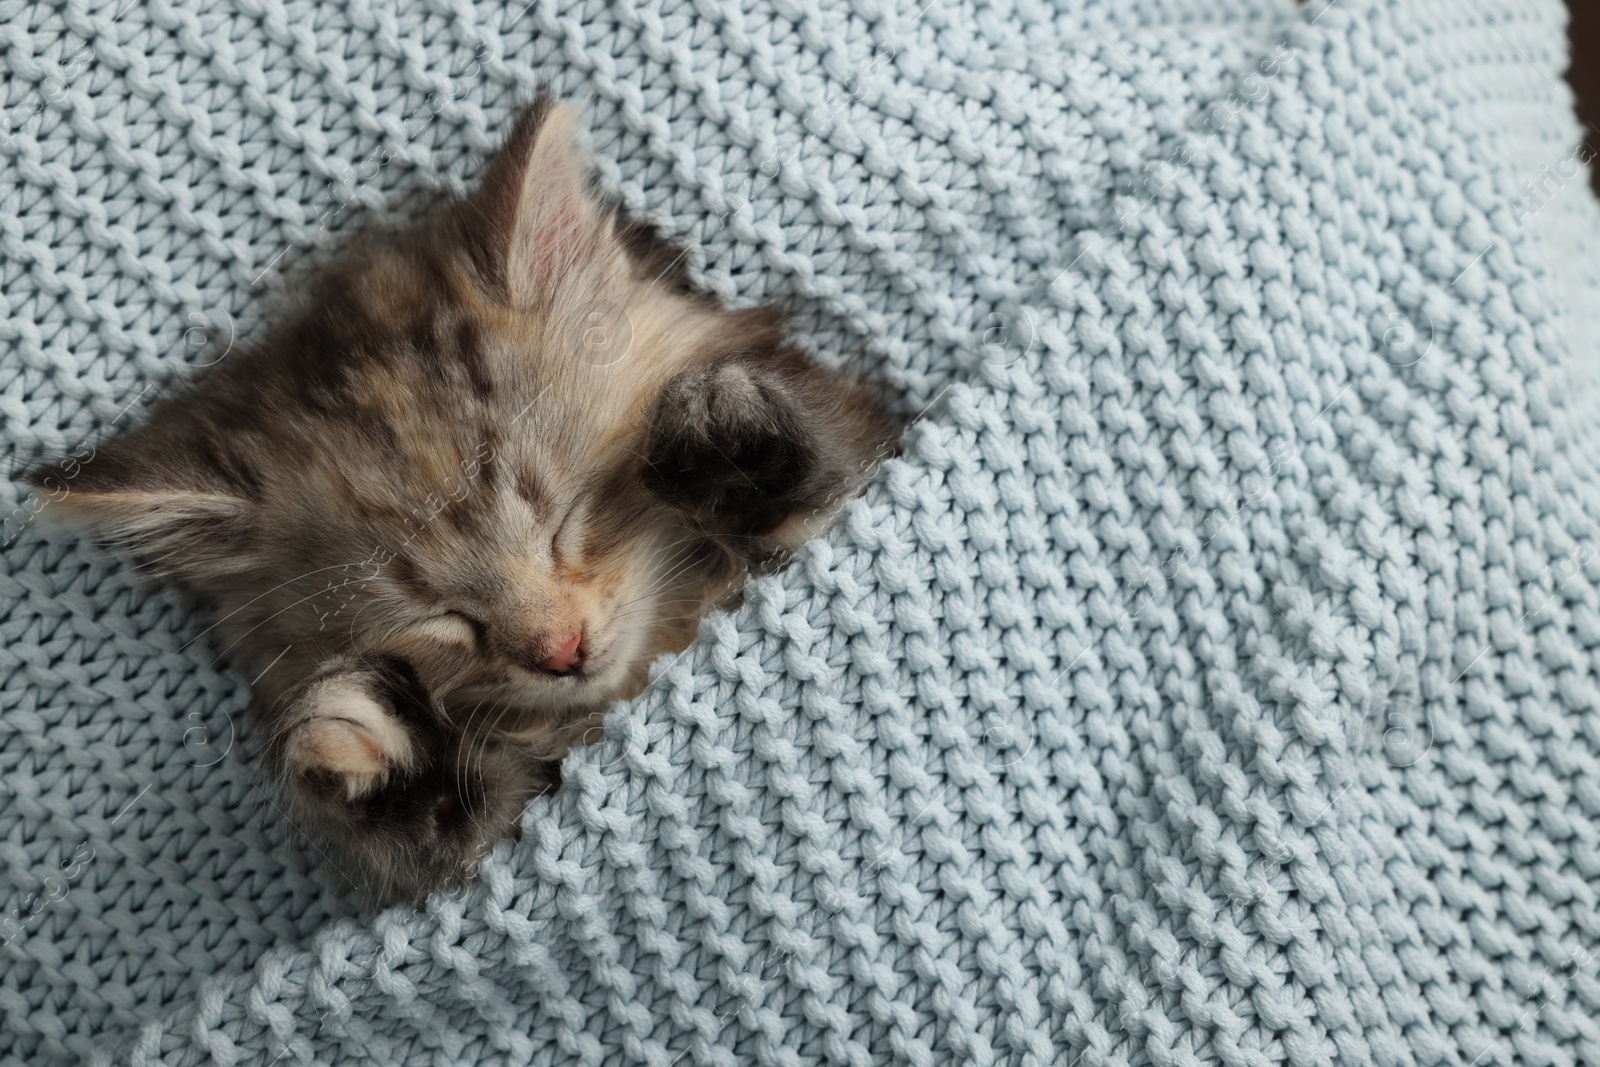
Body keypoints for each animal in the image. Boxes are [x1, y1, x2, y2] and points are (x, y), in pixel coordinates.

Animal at [25, 95, 896, 908]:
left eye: (566, 520)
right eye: (439, 614)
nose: (561, 649)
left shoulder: (863, 444)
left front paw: (730, 446)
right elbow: (453, 825)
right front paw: (375, 747)